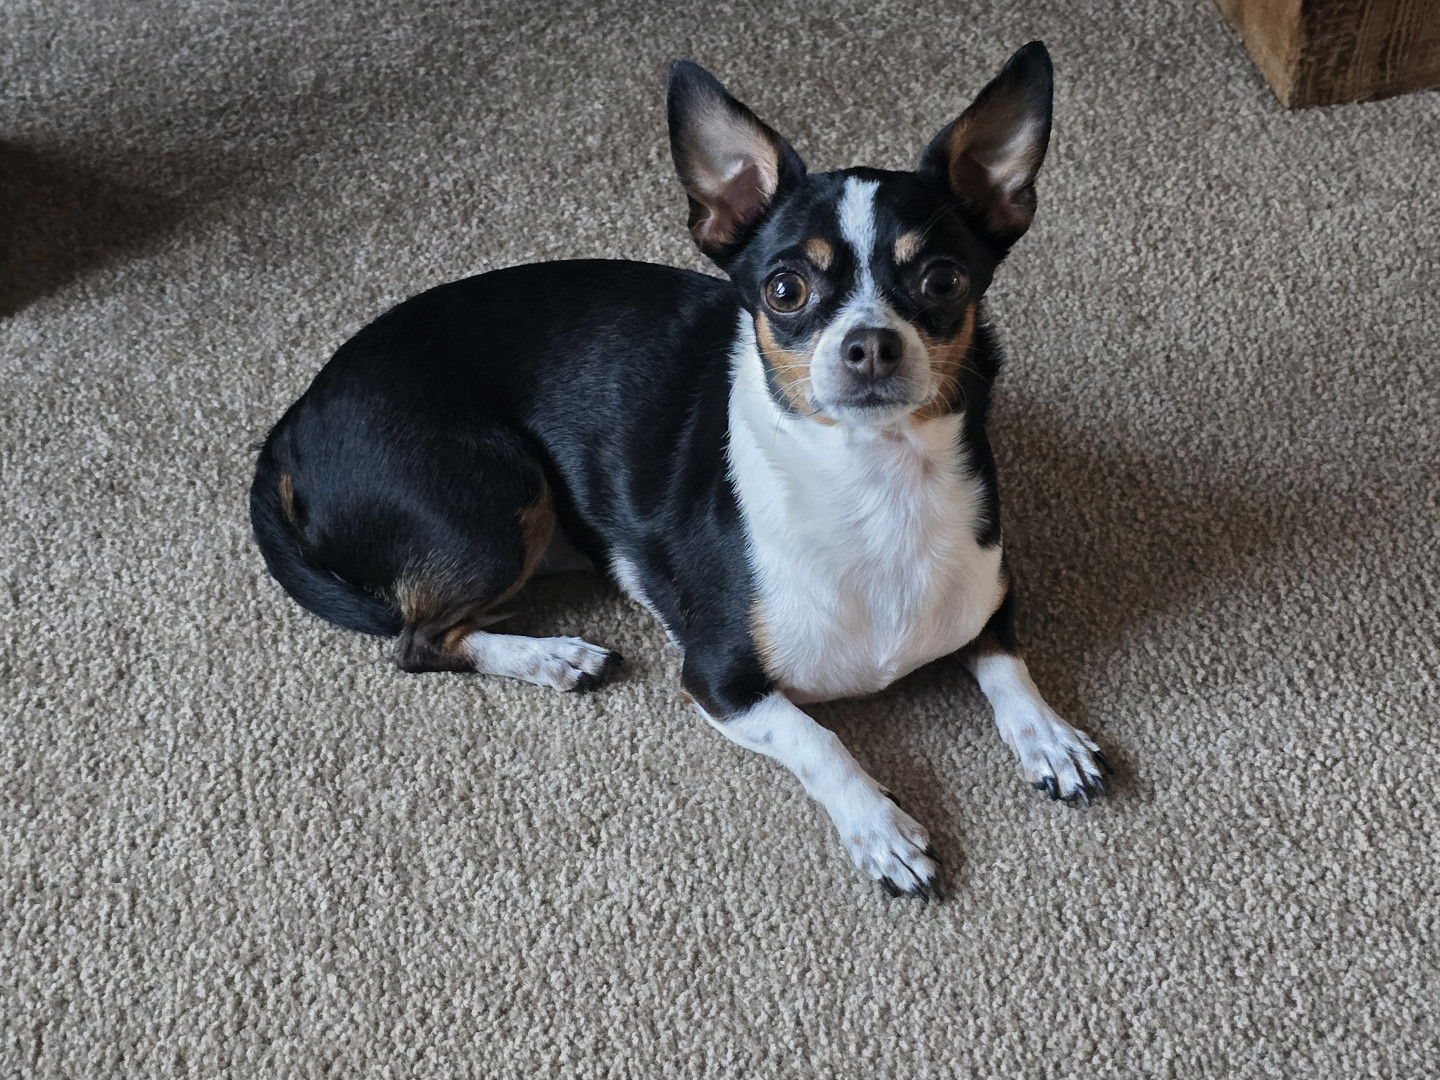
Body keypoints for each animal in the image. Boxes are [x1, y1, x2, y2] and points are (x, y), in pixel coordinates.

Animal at [250, 42, 1111, 900]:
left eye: (943, 280)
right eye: (786, 289)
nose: (870, 343)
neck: (875, 479)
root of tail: (292, 421)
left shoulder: (989, 594)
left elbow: (1005, 660)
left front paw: (1048, 735)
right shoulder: (722, 681)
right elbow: (818, 739)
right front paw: (879, 827)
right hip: (497, 503)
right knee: (419, 640)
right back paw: (553, 655)